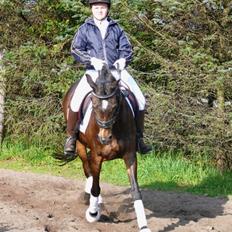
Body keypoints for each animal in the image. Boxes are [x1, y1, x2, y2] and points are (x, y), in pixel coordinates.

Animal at [59, 65, 151, 232]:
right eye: (94, 105)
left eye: (115, 106)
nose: (104, 138)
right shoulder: (97, 156)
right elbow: (95, 186)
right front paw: (93, 213)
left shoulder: (130, 156)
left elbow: (135, 190)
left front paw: (144, 226)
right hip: (80, 145)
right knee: (87, 168)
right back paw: (95, 202)